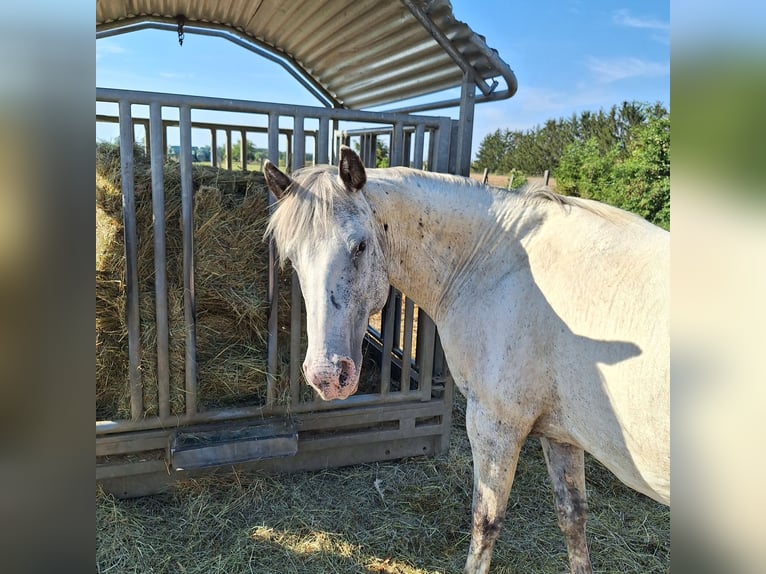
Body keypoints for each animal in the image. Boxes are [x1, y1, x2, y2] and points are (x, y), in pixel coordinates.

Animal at [266, 147, 672, 574]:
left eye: (359, 246)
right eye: (293, 258)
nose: (327, 375)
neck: (496, 265)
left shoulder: (494, 424)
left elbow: (485, 521)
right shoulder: (561, 434)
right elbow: (572, 517)